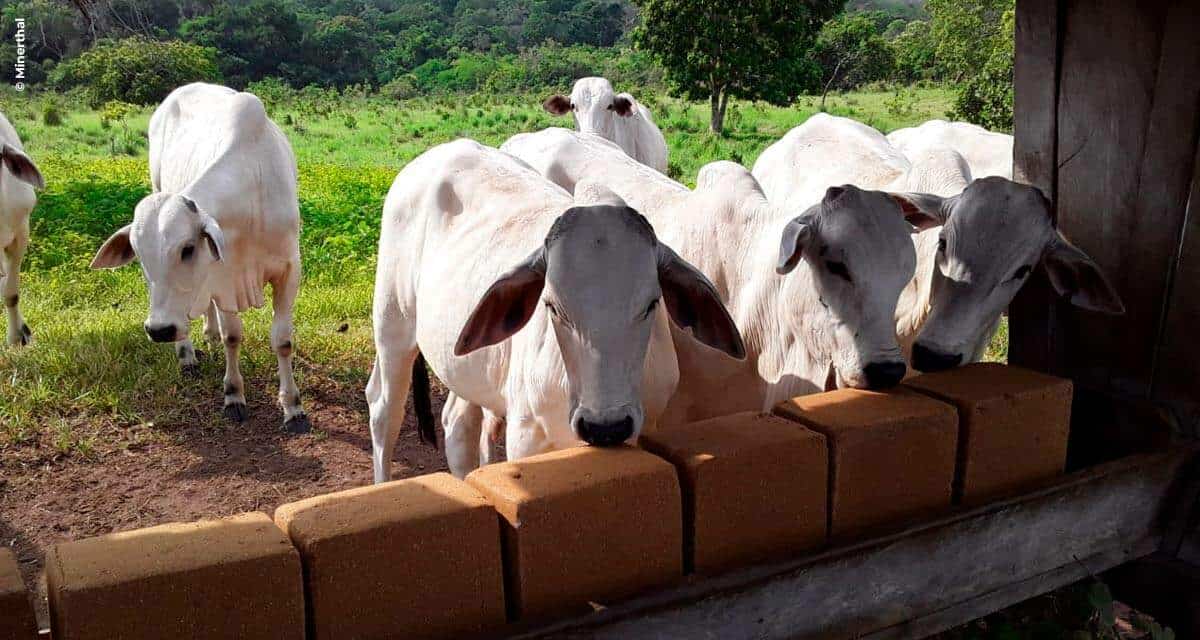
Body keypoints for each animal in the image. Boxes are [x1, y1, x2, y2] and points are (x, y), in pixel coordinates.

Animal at [91, 81, 307, 429]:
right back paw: (188, 354)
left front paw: (293, 407)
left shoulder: (289, 269)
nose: (158, 330)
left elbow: (282, 340)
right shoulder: (225, 275)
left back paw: (208, 334)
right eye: (139, 255)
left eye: (187, 248)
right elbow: (234, 336)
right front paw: (233, 395)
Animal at [364, 139, 739, 480]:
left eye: (651, 304)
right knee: (384, 409)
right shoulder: (526, 438)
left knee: (457, 424)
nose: (605, 427)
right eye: (552, 307)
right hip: (392, 324)